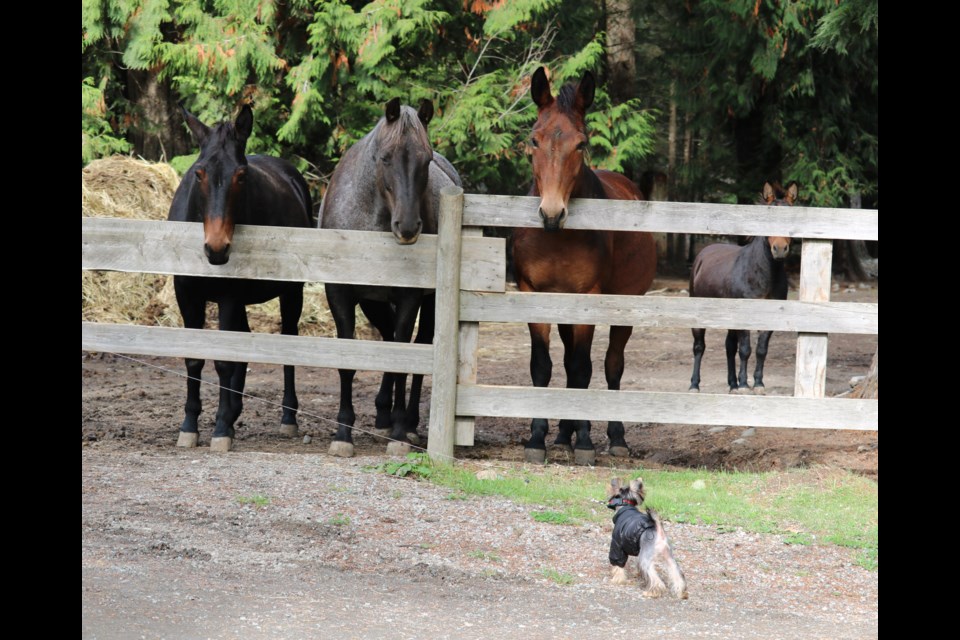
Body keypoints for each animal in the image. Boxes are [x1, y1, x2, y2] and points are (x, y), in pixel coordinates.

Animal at [168, 105, 312, 452]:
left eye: (241, 175)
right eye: (199, 173)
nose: (217, 248)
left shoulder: (228, 297)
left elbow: (224, 361)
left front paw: (220, 429)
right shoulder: (187, 295)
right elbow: (194, 359)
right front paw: (190, 426)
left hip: (291, 293)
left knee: (288, 338)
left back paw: (287, 417)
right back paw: (234, 412)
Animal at [318, 95, 462, 458]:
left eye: (425, 160)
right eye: (385, 158)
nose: (408, 227)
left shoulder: (409, 297)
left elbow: (402, 357)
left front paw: (398, 434)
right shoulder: (340, 293)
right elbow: (349, 359)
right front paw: (343, 433)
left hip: (429, 302)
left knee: (418, 345)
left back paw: (407, 423)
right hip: (375, 302)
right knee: (386, 337)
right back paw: (384, 413)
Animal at [510, 67, 660, 462]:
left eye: (581, 143)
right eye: (534, 140)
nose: (551, 213)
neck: (557, 239)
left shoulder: (589, 297)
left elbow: (583, 369)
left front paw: (586, 443)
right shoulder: (534, 294)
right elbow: (543, 367)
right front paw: (538, 439)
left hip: (624, 305)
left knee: (611, 364)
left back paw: (615, 437)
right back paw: (564, 434)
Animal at [688, 184, 800, 396]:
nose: (780, 249)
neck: (761, 276)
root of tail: (702, 255)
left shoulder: (769, 319)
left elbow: (761, 350)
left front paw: (758, 383)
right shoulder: (745, 318)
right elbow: (745, 350)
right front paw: (744, 384)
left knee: (729, 346)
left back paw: (731, 384)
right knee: (699, 347)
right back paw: (694, 385)